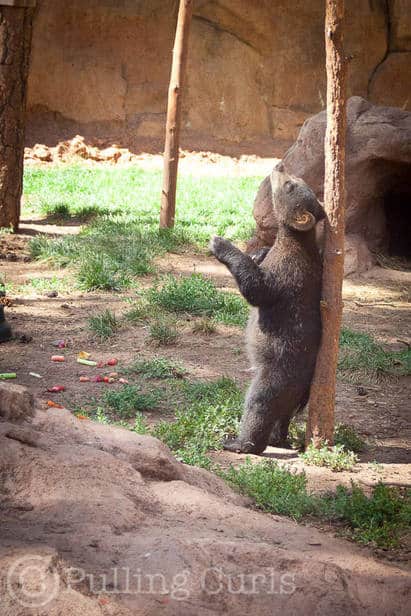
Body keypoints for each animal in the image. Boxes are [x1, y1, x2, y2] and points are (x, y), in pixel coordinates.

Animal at [211, 161, 326, 454]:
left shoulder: (286, 271)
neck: (292, 242)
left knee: (260, 405)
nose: (280, 165)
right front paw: (257, 252)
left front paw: (221, 243)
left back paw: (240, 442)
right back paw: (279, 438)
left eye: (290, 185)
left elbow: (258, 290)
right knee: (282, 416)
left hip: (277, 374)